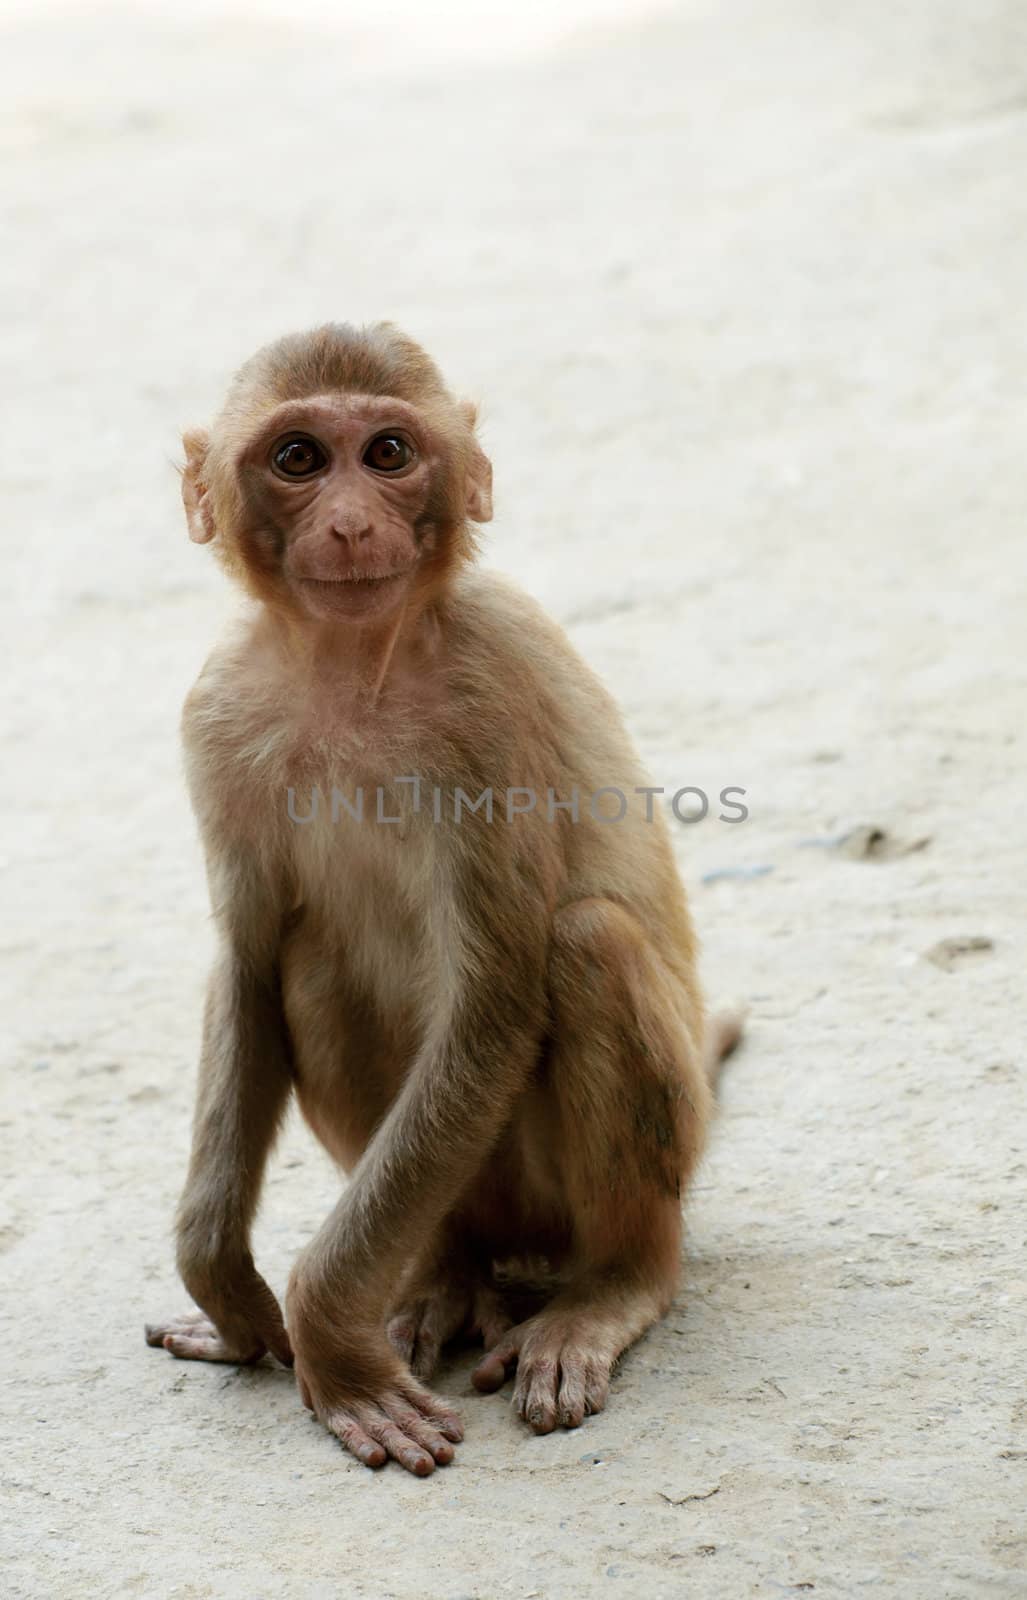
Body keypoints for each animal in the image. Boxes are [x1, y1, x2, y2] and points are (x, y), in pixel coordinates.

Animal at [143, 321, 735, 1472]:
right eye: (297, 458)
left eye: (386, 453)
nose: (348, 520)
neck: (350, 671)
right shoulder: (218, 711)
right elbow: (248, 961)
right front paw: (227, 1290)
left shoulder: (484, 705)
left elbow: (493, 1005)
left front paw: (328, 1340)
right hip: (470, 1188)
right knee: (311, 968)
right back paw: (441, 1274)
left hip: (588, 1181)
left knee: (587, 946)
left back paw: (614, 1283)